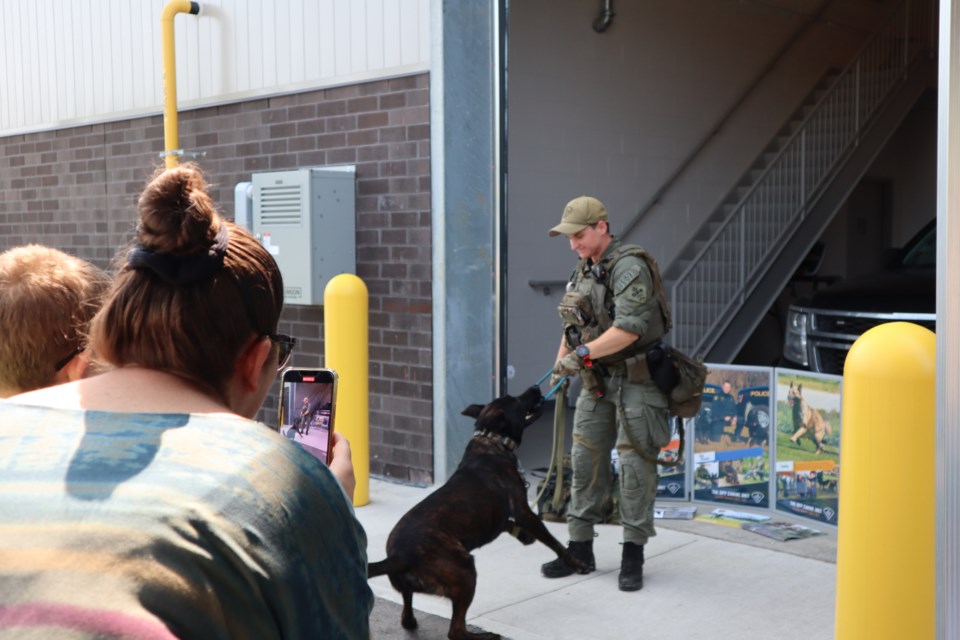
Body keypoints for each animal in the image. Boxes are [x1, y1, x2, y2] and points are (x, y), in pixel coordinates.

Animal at [368, 384, 588, 640]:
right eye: (515, 399)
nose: (535, 387)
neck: (493, 439)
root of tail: (397, 557)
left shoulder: (500, 515)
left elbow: (508, 524)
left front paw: (524, 536)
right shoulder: (523, 511)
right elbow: (553, 541)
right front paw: (577, 563)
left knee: (406, 615)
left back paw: (412, 620)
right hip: (464, 572)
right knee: (455, 630)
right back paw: (485, 636)